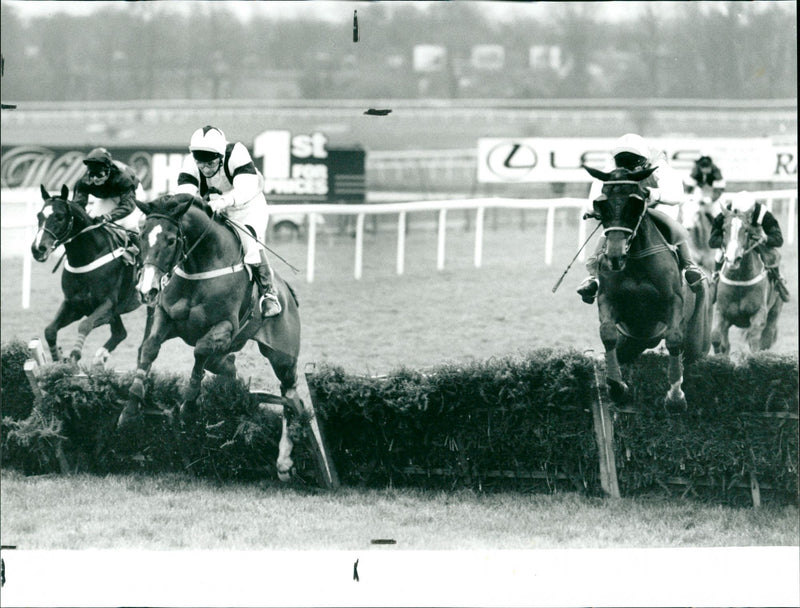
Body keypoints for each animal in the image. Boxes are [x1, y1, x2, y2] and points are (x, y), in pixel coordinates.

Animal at [30, 184, 153, 366]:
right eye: (39, 215)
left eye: (59, 217)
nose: (38, 249)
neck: (86, 258)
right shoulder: (75, 304)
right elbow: (50, 330)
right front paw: (58, 358)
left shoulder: (107, 306)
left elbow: (85, 325)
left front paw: (74, 355)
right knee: (120, 333)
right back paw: (100, 357)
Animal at [584, 164, 708, 406]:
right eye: (601, 203)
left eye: (635, 203)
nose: (614, 256)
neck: (635, 262)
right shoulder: (608, 300)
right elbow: (608, 334)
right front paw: (617, 386)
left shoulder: (673, 302)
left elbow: (674, 339)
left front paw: (675, 396)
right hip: (632, 342)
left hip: (698, 340)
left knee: (691, 357)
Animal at [712, 208, 780, 354]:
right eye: (724, 229)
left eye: (746, 230)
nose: (733, 259)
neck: (740, 280)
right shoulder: (722, 312)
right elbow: (716, 338)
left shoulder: (759, 313)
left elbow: (754, 341)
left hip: (774, 312)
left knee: (767, 337)